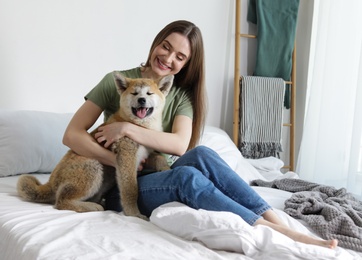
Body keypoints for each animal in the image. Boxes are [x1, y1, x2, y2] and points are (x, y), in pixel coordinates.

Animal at [17, 71, 174, 219]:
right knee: (61, 202)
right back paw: (92, 207)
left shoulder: (144, 155)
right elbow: (131, 190)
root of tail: (51, 182)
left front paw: (166, 168)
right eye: (134, 93)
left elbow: (159, 158)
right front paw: (133, 213)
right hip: (93, 167)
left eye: (149, 93)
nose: (142, 100)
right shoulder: (127, 158)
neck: (137, 125)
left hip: (103, 182)